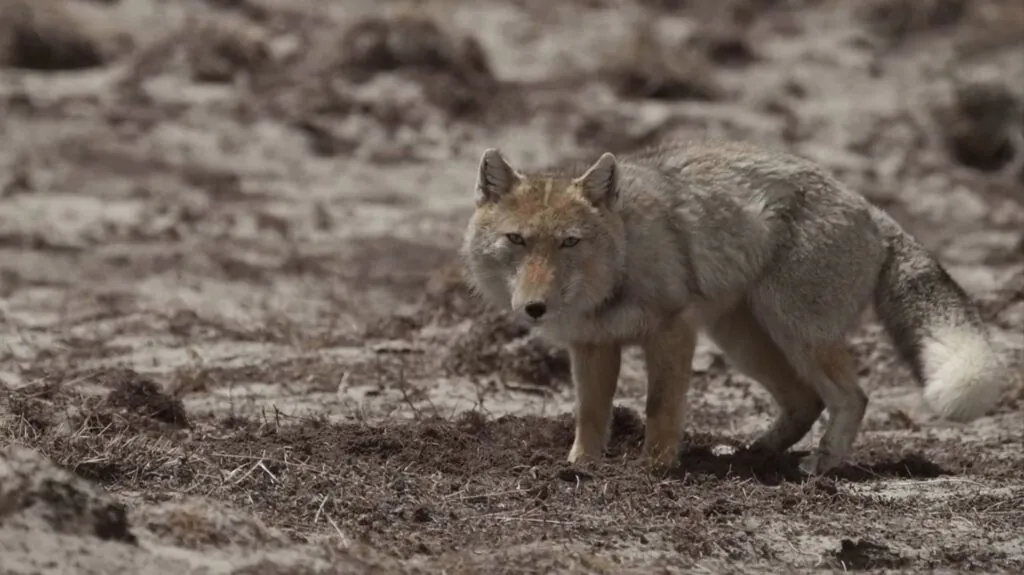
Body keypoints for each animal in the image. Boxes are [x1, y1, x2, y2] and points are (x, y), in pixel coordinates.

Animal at [462, 136, 1015, 472]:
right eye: (517, 240)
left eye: (570, 243)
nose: (533, 308)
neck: (619, 265)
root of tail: (868, 206)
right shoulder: (592, 346)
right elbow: (591, 413)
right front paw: (582, 467)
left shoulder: (672, 331)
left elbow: (660, 405)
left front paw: (656, 468)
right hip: (744, 342)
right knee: (805, 401)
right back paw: (754, 455)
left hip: (795, 334)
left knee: (851, 397)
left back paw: (822, 464)